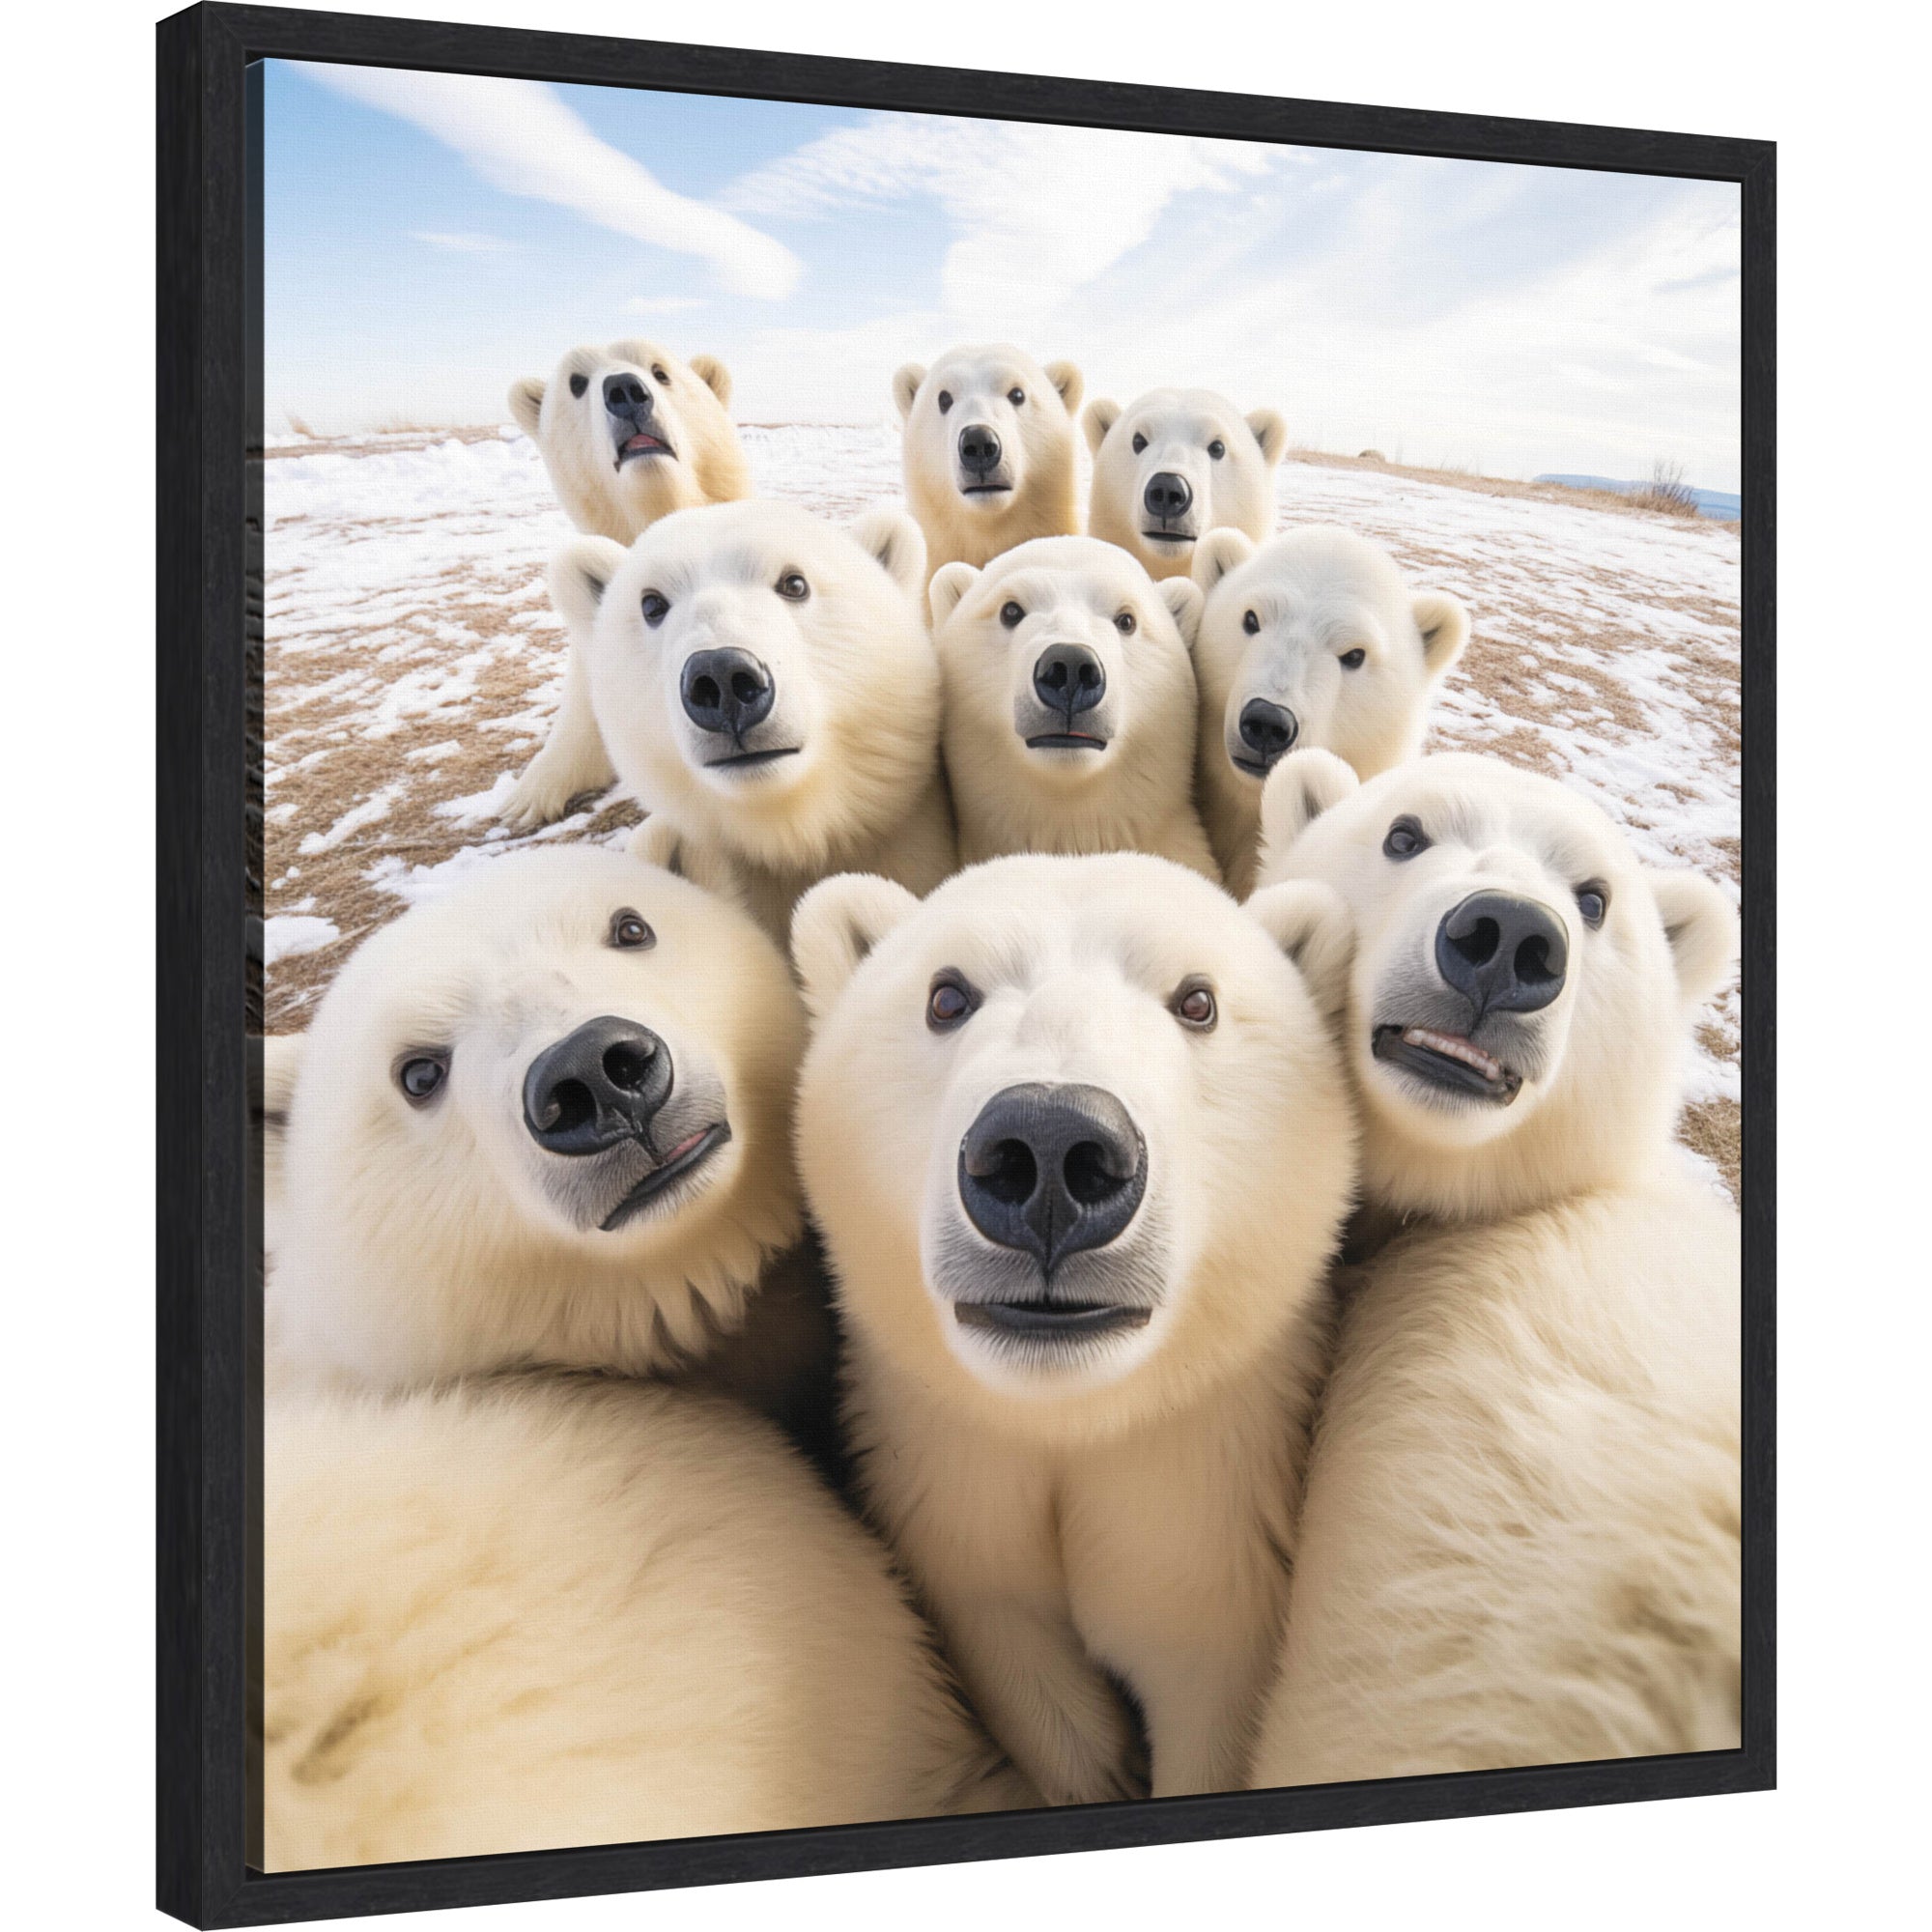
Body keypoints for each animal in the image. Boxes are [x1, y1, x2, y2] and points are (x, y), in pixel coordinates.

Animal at [791, 852, 1359, 1803]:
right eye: (947, 995)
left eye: (1197, 1001)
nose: (1052, 1149)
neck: (1072, 1418)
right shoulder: (951, 1478)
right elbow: (1013, 1644)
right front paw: (1102, 1768)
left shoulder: (1207, 1492)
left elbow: (1204, 1670)